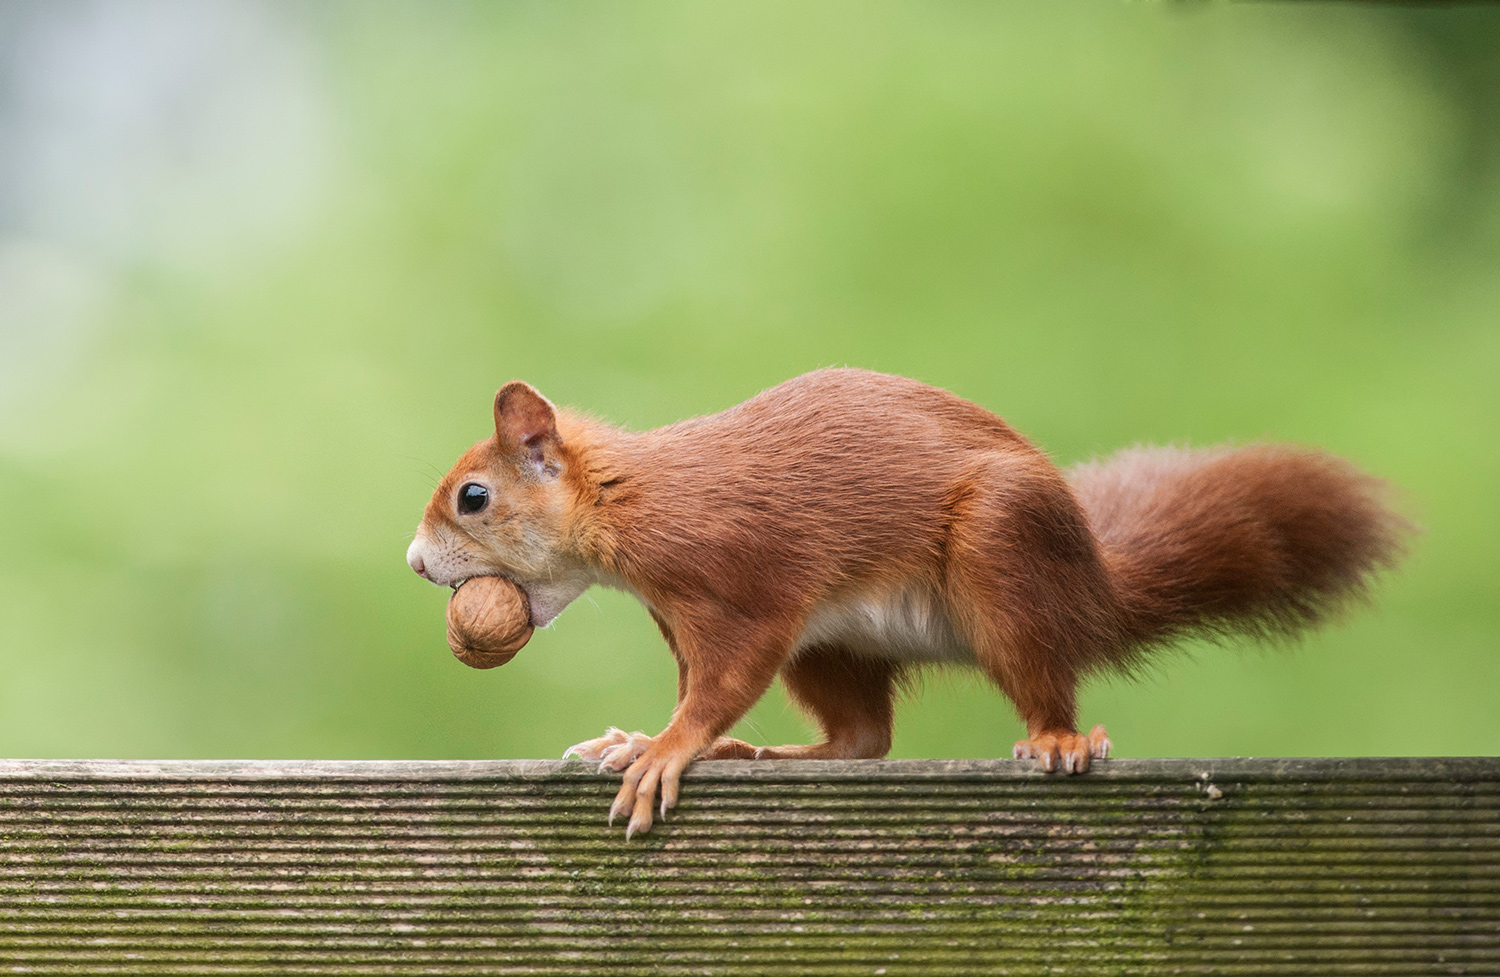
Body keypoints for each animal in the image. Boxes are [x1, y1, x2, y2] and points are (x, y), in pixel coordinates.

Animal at [408, 370, 1404, 834]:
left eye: (473, 497)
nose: (417, 563)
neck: (634, 499)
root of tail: (1090, 584)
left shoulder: (746, 581)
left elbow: (720, 682)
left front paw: (667, 749)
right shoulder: (682, 619)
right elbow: (701, 685)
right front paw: (645, 738)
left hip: (1004, 558)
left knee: (1037, 675)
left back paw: (1059, 739)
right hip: (833, 646)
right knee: (861, 738)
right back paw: (760, 752)